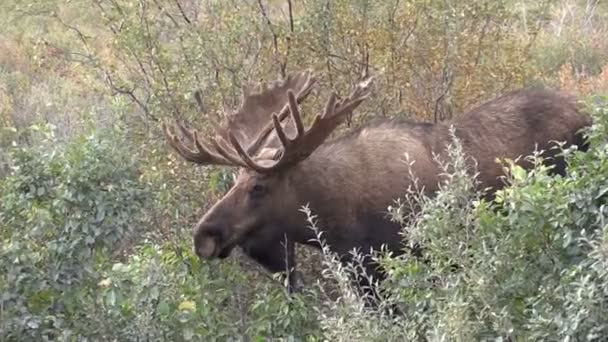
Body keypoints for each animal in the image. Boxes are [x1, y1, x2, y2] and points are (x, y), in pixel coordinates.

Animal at [164, 69, 592, 296]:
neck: (331, 219)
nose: (203, 236)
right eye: (232, 182)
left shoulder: (389, 265)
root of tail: (587, 112)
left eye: (258, 188)